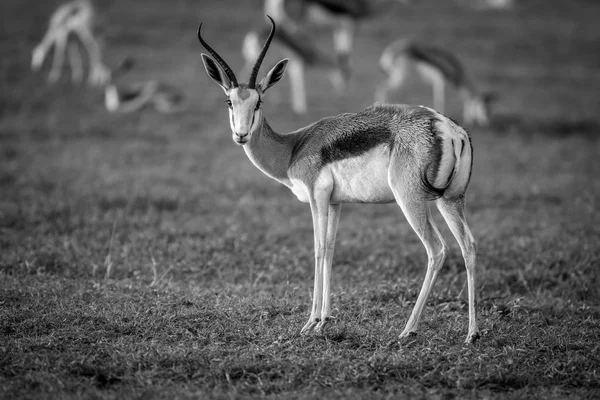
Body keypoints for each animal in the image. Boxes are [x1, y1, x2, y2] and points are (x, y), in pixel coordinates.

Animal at [199, 16, 480, 344]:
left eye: (258, 102)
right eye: (229, 102)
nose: (241, 135)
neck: (293, 148)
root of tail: (446, 127)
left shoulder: (316, 196)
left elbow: (319, 248)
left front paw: (310, 322)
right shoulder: (335, 203)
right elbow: (332, 248)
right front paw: (325, 320)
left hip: (410, 200)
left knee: (436, 249)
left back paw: (408, 329)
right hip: (451, 200)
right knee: (468, 246)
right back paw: (472, 334)